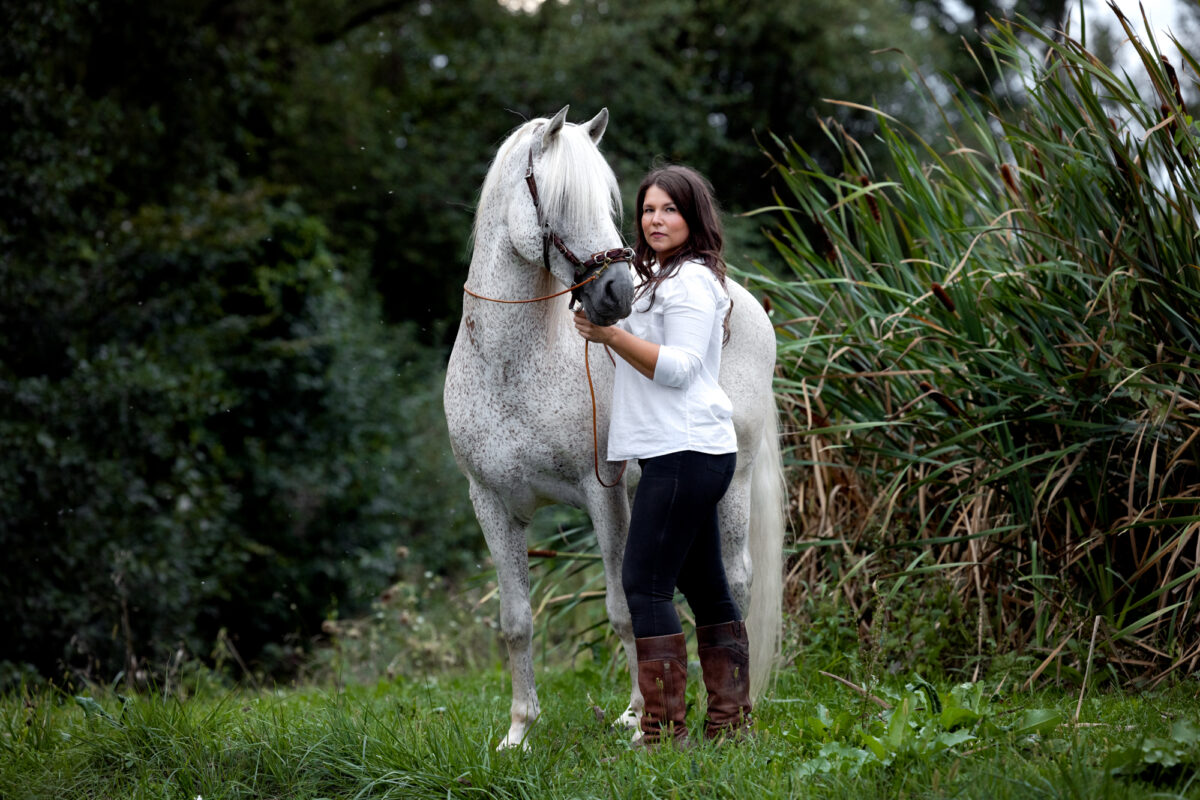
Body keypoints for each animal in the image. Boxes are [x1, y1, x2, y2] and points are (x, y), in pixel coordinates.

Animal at [444, 106, 786, 750]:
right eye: (557, 200)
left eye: (606, 201)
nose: (617, 293)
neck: (512, 366)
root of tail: (745, 303)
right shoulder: (491, 503)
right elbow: (516, 619)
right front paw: (518, 732)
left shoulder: (603, 495)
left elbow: (624, 608)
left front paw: (638, 719)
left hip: (733, 484)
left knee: (735, 583)